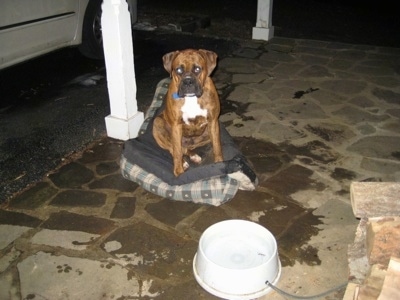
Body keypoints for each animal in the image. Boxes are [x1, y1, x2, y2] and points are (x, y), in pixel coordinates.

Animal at [152, 48, 223, 176]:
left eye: (197, 69)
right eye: (179, 70)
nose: (188, 81)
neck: (192, 98)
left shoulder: (213, 121)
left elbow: (217, 146)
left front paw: (220, 163)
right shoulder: (176, 126)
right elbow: (176, 151)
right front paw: (179, 171)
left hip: (208, 133)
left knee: (186, 149)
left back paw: (193, 156)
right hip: (157, 122)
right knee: (175, 149)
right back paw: (184, 162)